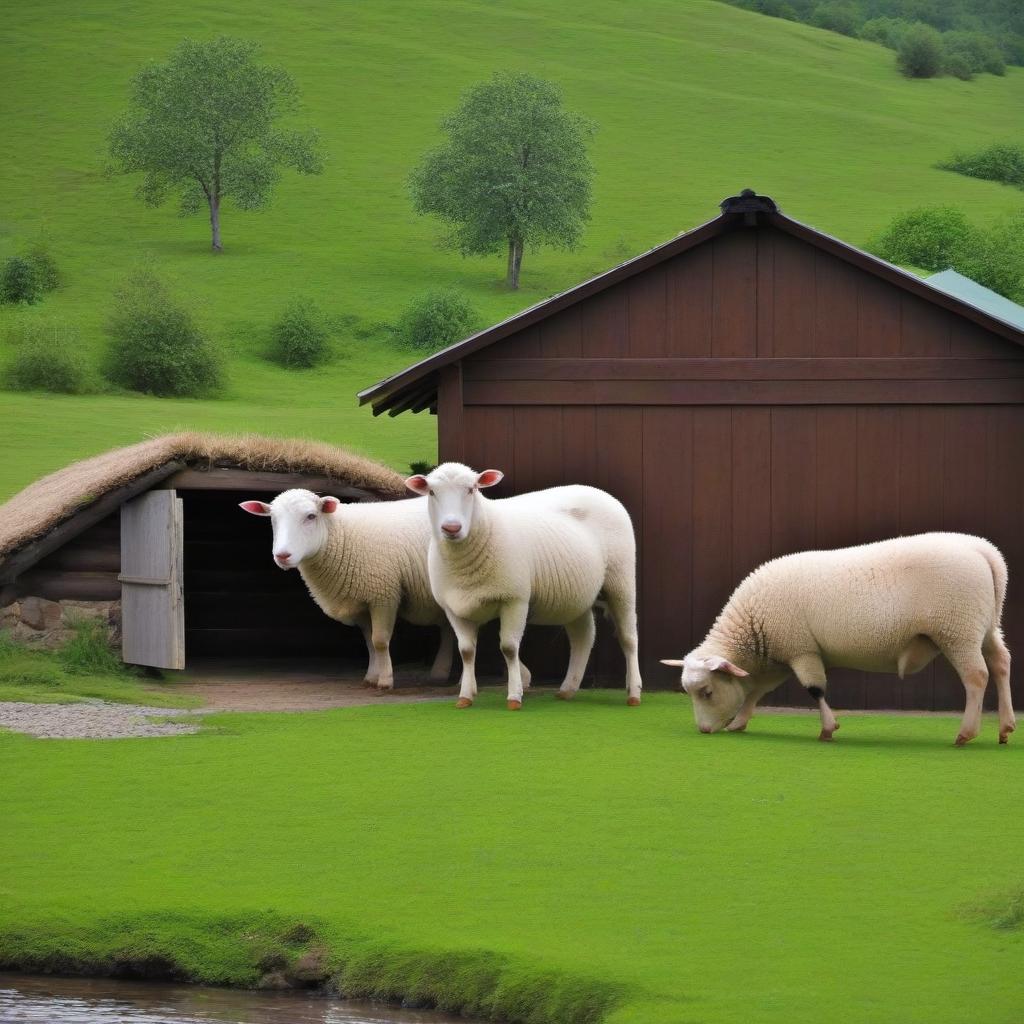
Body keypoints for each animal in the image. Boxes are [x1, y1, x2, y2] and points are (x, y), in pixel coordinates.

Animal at [239, 487, 452, 688]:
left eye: (311, 516)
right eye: (273, 519)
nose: (282, 555)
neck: (343, 534)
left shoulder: (384, 594)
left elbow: (380, 641)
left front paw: (385, 681)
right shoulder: (363, 602)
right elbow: (369, 642)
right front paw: (371, 677)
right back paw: (440, 674)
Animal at [401, 464, 634, 712]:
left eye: (472, 489)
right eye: (432, 492)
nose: (452, 528)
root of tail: (598, 492)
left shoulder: (515, 599)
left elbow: (509, 648)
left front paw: (514, 697)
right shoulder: (453, 608)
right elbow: (466, 651)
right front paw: (465, 697)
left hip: (621, 581)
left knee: (628, 637)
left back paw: (634, 693)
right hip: (576, 596)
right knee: (583, 637)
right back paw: (567, 690)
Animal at [659, 536, 1011, 745]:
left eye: (706, 691)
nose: (704, 731)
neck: (750, 628)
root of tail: (986, 553)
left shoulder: (801, 649)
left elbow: (815, 689)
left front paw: (828, 728)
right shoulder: (782, 656)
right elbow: (756, 691)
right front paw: (740, 722)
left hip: (958, 629)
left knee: (976, 676)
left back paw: (966, 733)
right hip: (984, 627)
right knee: (1001, 664)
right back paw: (1006, 727)